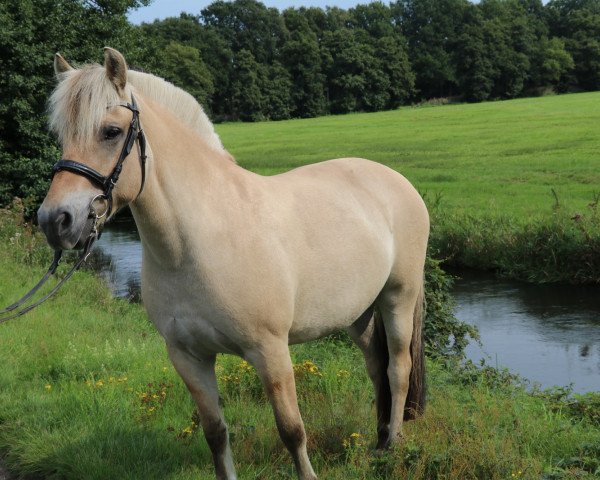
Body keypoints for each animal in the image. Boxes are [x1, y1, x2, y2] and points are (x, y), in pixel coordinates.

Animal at [37, 46, 428, 480]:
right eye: (60, 136)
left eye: (110, 131)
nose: (55, 220)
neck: (196, 243)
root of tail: (395, 180)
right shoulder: (188, 357)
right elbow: (215, 433)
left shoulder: (270, 351)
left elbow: (292, 431)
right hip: (358, 313)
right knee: (376, 367)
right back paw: (378, 439)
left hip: (398, 297)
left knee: (398, 368)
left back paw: (391, 445)